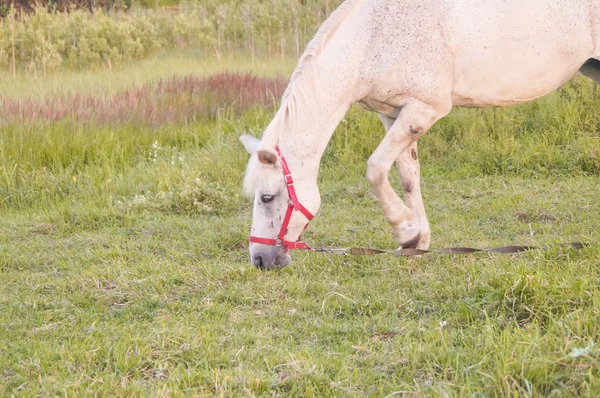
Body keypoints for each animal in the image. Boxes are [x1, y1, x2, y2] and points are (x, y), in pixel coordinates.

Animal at [240, 0, 600, 270]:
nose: (259, 259)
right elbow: (407, 176)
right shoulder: (394, 114)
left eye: (267, 197)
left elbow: (375, 168)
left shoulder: (424, 109)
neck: (373, 38)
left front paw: (403, 229)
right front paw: (417, 242)